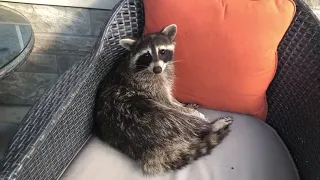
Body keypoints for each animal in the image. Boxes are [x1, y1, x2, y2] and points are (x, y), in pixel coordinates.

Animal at [92, 23, 232, 174]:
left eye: (162, 51)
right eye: (146, 55)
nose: (157, 69)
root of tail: (146, 151)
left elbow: (171, 98)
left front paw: (183, 104)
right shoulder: (146, 84)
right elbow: (168, 102)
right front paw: (191, 112)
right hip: (148, 117)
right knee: (182, 120)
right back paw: (210, 126)